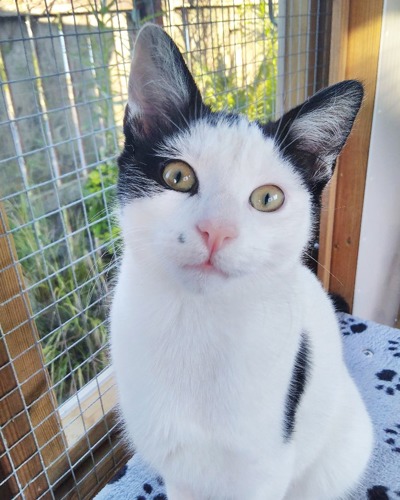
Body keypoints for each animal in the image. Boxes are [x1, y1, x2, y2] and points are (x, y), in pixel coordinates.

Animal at [111, 22, 374, 500]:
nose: (216, 230)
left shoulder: (265, 465)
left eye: (268, 198)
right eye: (178, 176)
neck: (197, 323)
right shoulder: (177, 466)